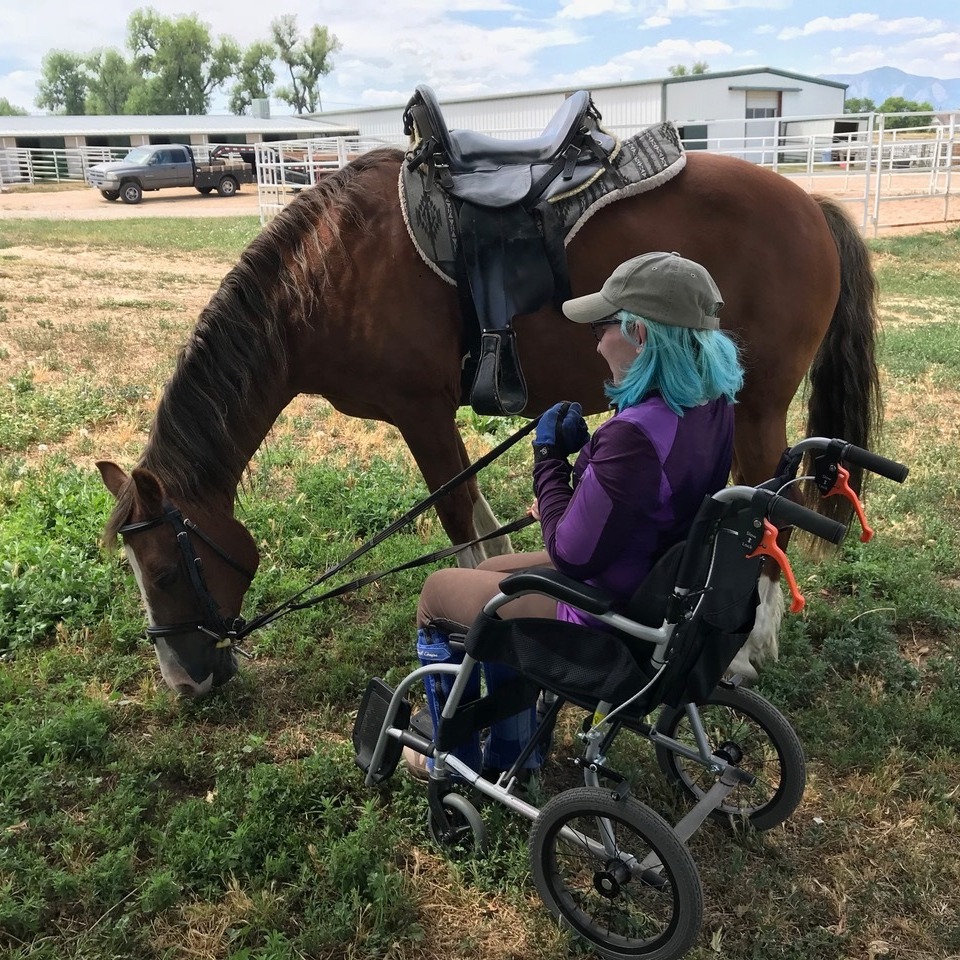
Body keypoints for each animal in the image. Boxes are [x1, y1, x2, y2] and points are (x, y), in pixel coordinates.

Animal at [96, 146, 881, 697]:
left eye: (163, 570)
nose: (185, 682)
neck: (326, 272)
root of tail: (809, 203)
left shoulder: (421, 413)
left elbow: (457, 521)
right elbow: (478, 517)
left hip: (761, 406)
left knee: (768, 510)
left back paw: (750, 648)